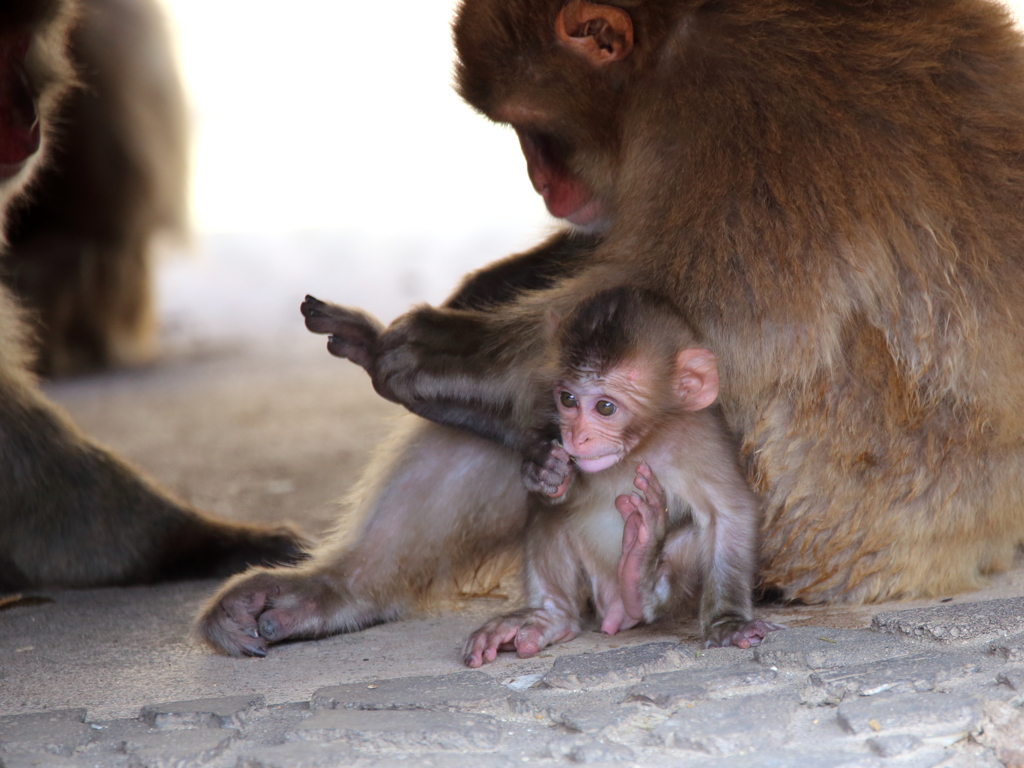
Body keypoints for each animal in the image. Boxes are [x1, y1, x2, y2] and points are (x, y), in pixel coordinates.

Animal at [462, 288, 774, 667]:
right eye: (567, 399)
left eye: (605, 407)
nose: (577, 436)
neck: (641, 444)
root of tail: (613, 606)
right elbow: (554, 487)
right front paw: (542, 466)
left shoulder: (697, 439)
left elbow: (730, 512)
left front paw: (727, 622)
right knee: (550, 512)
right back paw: (549, 616)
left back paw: (639, 573)